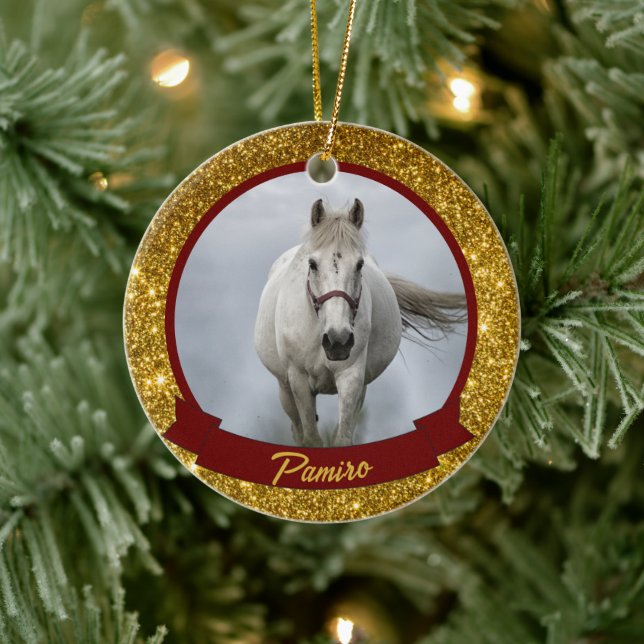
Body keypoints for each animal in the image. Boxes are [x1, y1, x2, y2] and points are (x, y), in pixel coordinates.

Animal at [254, 198, 466, 447]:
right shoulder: (299, 380)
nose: (337, 341)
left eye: (359, 264)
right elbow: (311, 439)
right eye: (313, 264)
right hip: (285, 389)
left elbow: (343, 438)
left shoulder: (352, 377)